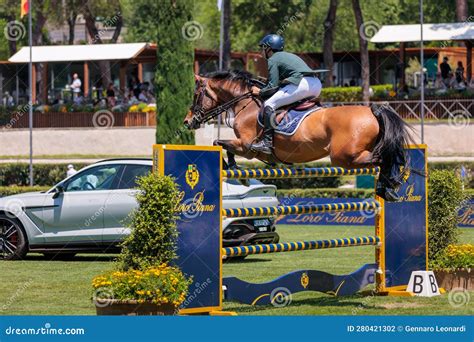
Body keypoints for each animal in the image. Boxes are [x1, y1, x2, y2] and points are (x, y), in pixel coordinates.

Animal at [183, 70, 412, 200]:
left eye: (196, 95)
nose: (187, 121)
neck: (245, 104)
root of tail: (372, 111)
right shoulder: (245, 148)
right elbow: (221, 144)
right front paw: (237, 171)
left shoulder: (247, 147)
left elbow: (219, 142)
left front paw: (237, 172)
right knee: (386, 159)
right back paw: (389, 188)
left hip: (345, 157)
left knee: (384, 160)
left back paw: (388, 186)